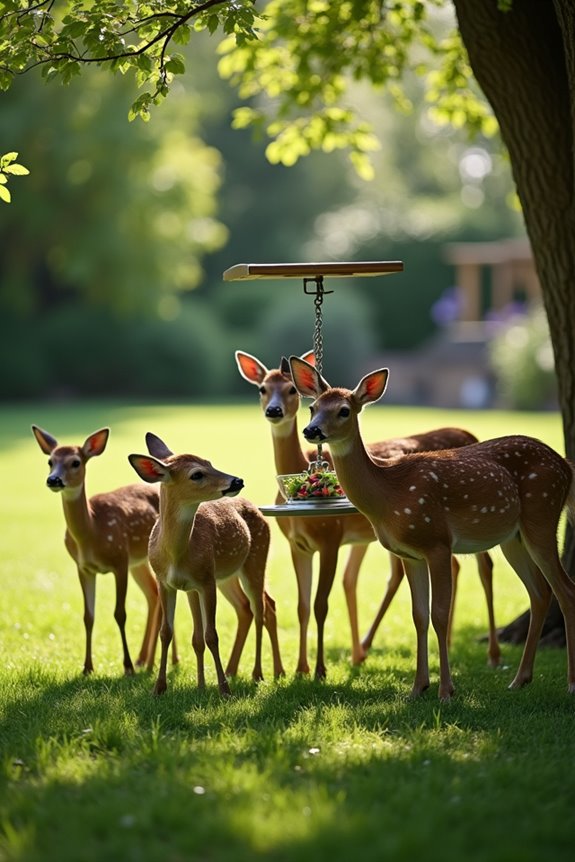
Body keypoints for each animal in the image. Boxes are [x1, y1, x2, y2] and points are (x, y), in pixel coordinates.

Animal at [31, 424, 174, 676]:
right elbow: (88, 616)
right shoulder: (84, 568)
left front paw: (127, 666)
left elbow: (120, 613)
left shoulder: (119, 560)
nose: (53, 479)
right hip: (139, 562)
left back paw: (154, 662)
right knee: (153, 595)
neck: (92, 531)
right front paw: (87, 667)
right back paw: (146, 659)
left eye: (75, 462)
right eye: (50, 461)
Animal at [128, 433, 284, 696]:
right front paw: (163, 687)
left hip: (256, 559)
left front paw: (223, 689)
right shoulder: (171, 583)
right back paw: (246, 670)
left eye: (209, 462)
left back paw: (260, 673)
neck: (176, 555)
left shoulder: (205, 581)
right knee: (251, 607)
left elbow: (211, 635)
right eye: (197, 474)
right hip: (227, 576)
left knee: (261, 609)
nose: (237, 480)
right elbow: (174, 634)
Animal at [235, 350, 500, 678]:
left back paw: (491, 655)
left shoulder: (331, 536)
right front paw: (301, 669)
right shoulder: (298, 544)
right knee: (447, 567)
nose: (274, 411)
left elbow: (321, 603)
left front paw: (319, 670)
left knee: (484, 566)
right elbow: (302, 605)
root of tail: (468, 432)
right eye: (262, 389)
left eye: (292, 390)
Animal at [289, 355, 575, 699]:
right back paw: (520, 679)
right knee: (540, 593)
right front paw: (417, 688)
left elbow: (439, 614)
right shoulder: (410, 554)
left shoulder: (437, 541)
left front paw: (446, 690)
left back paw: (570, 683)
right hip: (513, 537)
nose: (311, 430)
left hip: (542, 515)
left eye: (344, 410)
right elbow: (419, 615)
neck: (389, 492)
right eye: (313, 407)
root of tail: (566, 467)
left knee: (565, 590)